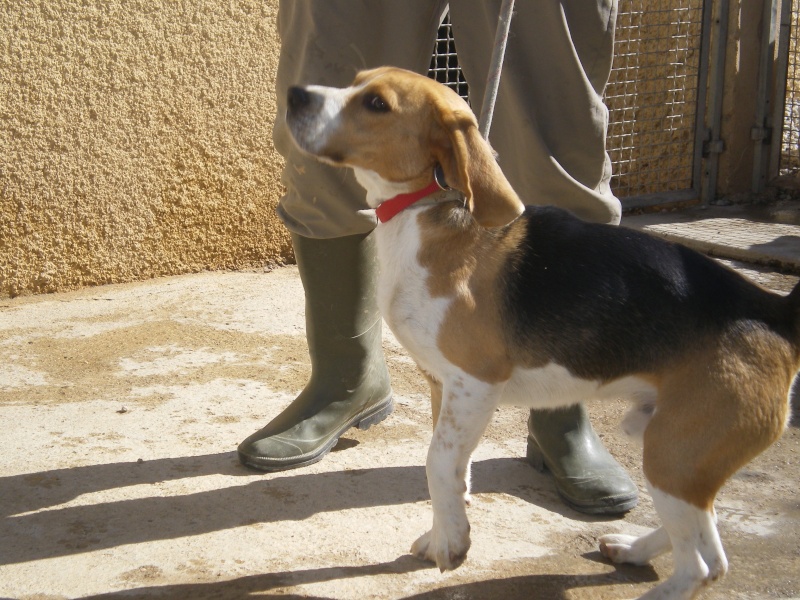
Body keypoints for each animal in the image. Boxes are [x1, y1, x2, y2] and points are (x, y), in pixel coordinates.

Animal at [284, 67, 796, 600]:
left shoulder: (475, 382)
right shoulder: (442, 385)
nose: (294, 95)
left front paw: (453, 545)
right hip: (672, 447)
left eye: (377, 104)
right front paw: (445, 532)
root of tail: (773, 309)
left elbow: (437, 463)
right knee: (708, 538)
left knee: (704, 564)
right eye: (355, 81)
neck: (425, 211)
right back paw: (634, 550)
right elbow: (454, 469)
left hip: (674, 453)